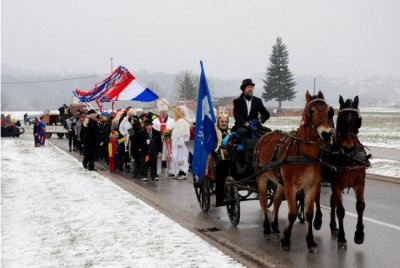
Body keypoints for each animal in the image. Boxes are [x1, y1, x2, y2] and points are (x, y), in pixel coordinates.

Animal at [255, 91, 332, 252]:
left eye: (328, 110)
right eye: (311, 111)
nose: (327, 134)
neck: (304, 153)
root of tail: (264, 136)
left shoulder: (311, 187)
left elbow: (308, 214)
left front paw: (310, 241)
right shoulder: (291, 187)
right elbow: (292, 213)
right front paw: (286, 240)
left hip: (279, 183)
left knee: (276, 201)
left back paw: (275, 227)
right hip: (261, 178)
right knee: (263, 201)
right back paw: (267, 228)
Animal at [322, 96, 368, 249]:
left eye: (356, 120)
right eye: (341, 119)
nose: (348, 146)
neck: (348, 157)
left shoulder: (360, 183)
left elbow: (360, 206)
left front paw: (359, 234)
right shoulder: (337, 184)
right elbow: (341, 211)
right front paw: (342, 238)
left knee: (332, 202)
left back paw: (333, 226)